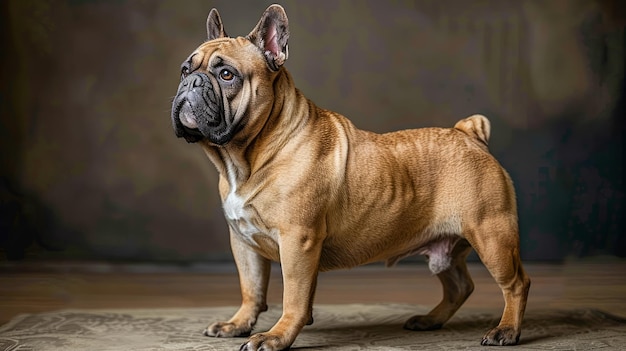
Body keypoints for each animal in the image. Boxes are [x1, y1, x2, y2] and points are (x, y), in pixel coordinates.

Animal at [169, 4, 528, 350]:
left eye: (226, 74)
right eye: (185, 70)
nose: (191, 82)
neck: (246, 158)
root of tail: (468, 134)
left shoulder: (297, 241)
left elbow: (293, 296)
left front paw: (277, 336)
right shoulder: (244, 243)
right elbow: (251, 289)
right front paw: (239, 324)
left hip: (491, 235)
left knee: (515, 284)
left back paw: (506, 331)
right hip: (448, 246)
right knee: (459, 286)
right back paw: (430, 320)